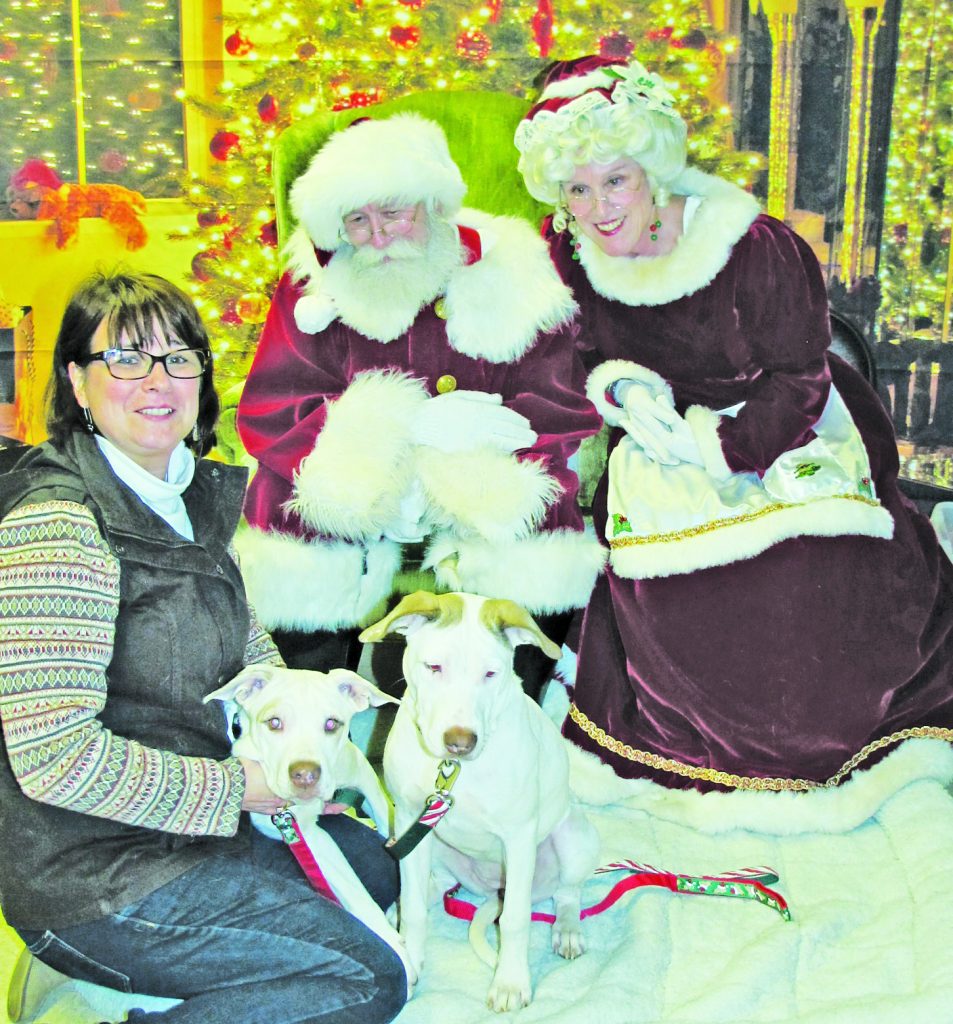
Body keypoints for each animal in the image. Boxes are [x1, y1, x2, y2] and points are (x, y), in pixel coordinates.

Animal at [203, 664, 412, 979]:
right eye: (274, 723)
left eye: (332, 724)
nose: (305, 775)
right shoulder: (301, 832)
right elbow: (356, 893)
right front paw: (398, 949)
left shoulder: (362, 775)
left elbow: (387, 817)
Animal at [360, 591, 600, 1012]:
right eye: (434, 667)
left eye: (491, 674)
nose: (460, 741)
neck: (453, 769)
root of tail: (490, 891)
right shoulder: (409, 820)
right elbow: (416, 908)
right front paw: (412, 961)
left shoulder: (519, 837)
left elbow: (517, 920)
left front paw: (510, 983)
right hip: (431, 841)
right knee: (435, 885)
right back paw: (398, 911)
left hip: (573, 839)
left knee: (567, 894)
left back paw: (568, 930)